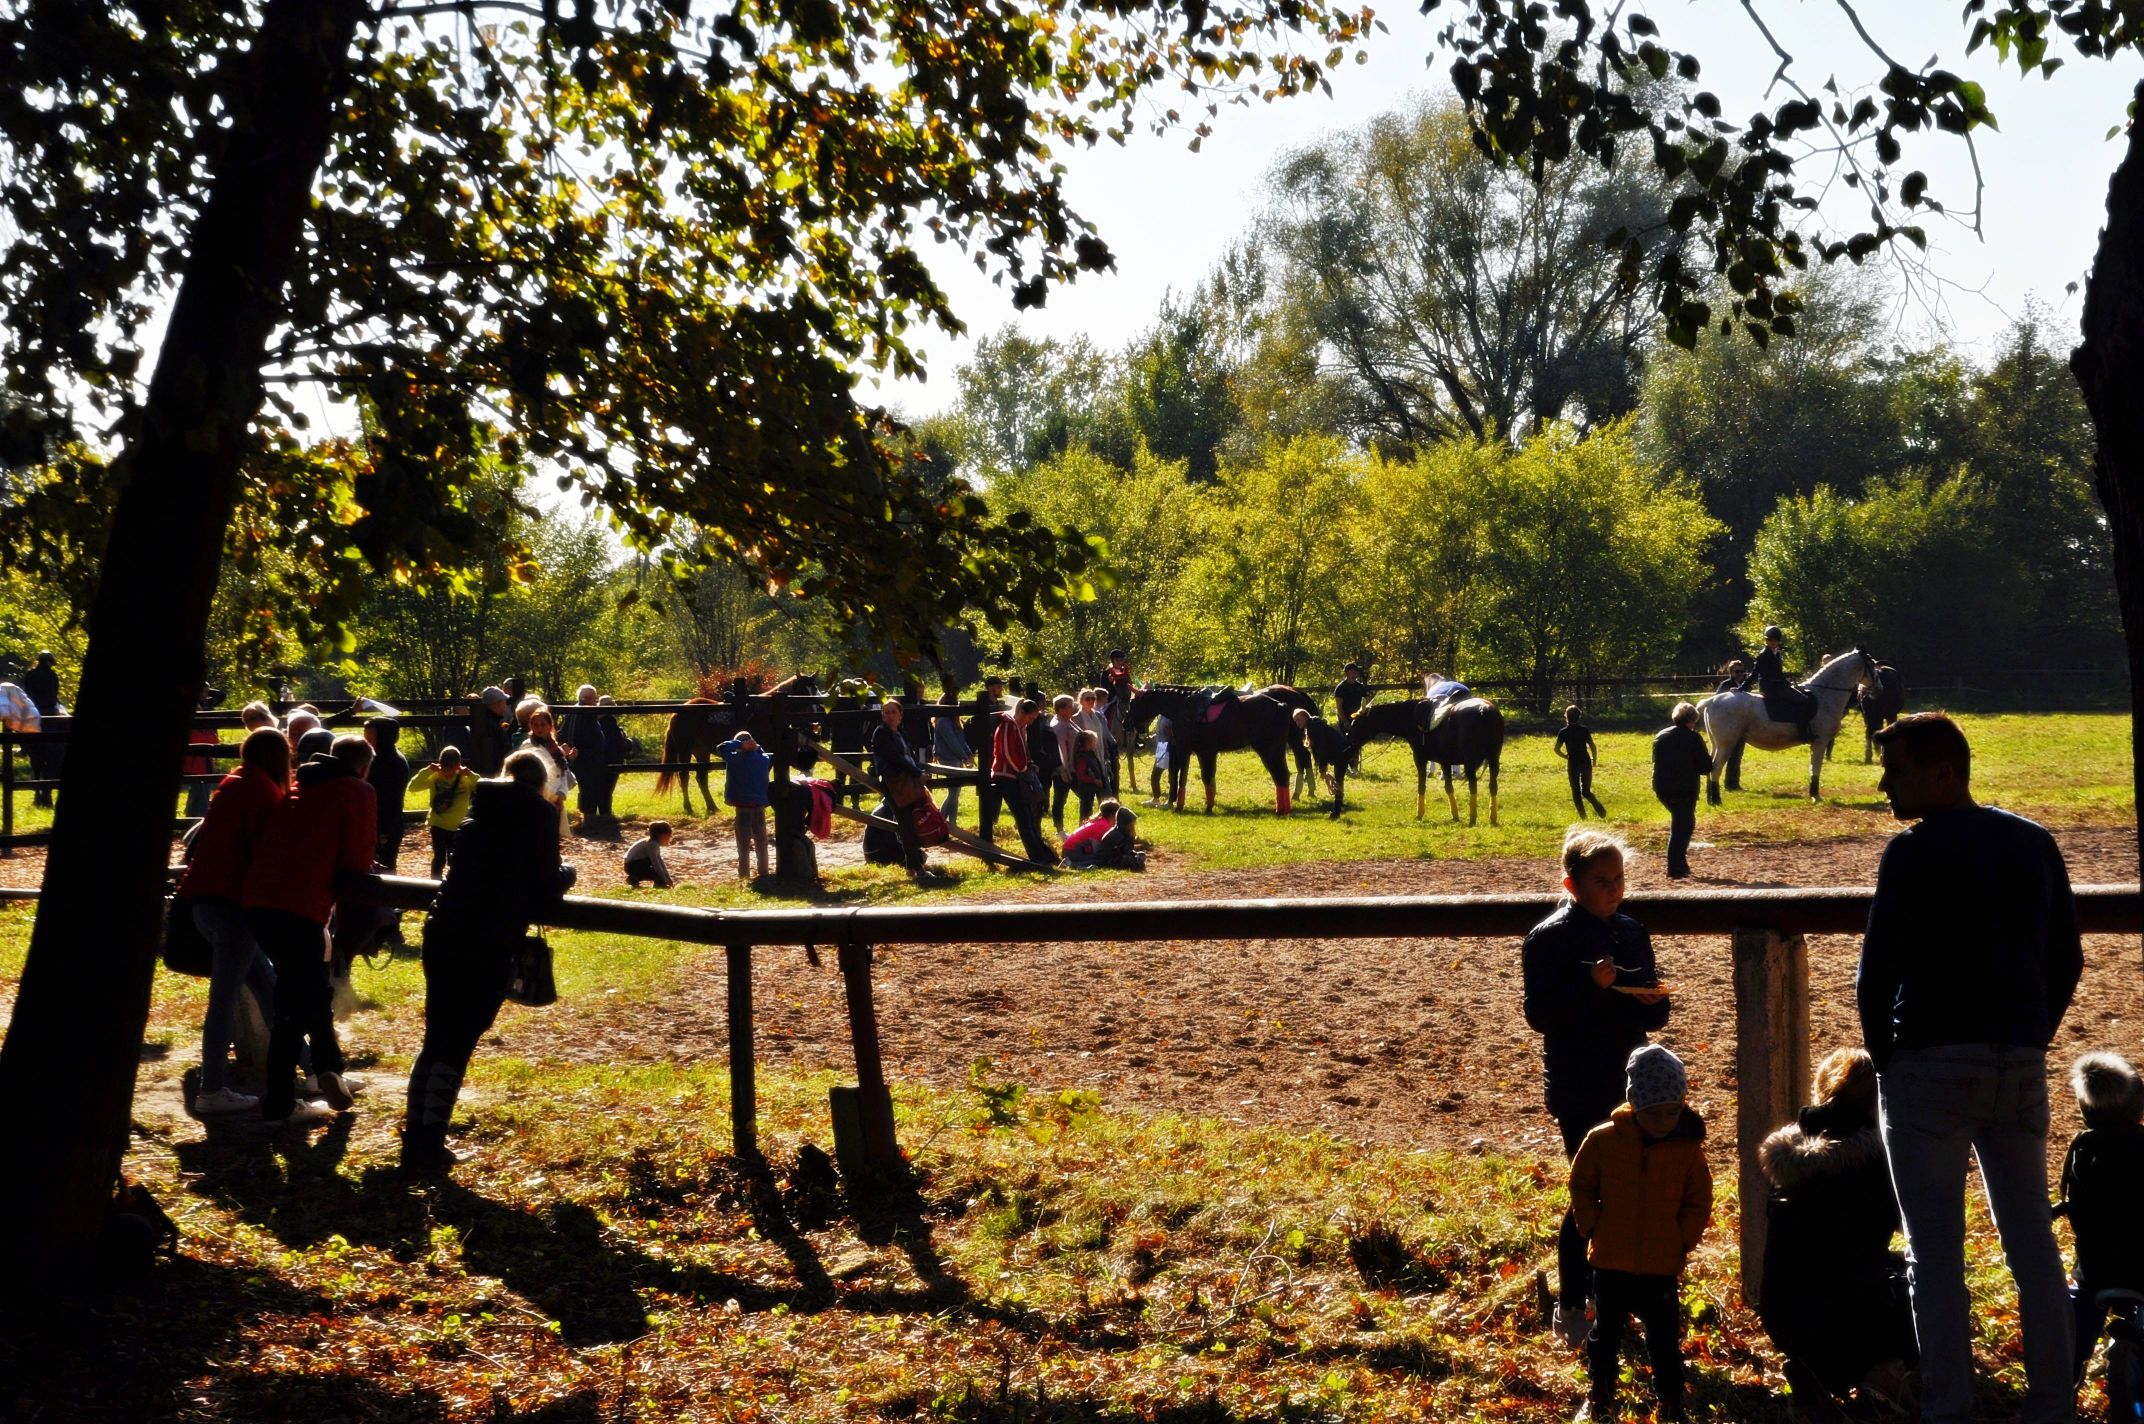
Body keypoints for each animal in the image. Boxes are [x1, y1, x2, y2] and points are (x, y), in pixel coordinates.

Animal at [1320, 690, 1509, 823]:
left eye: (1358, 723)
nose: (1347, 741)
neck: (1411, 716)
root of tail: (1485, 710)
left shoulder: (1420, 758)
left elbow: (1421, 786)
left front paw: (1420, 814)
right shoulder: (1445, 762)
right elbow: (1448, 787)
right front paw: (1454, 815)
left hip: (1471, 762)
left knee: (1473, 785)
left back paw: (1473, 816)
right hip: (1493, 760)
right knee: (1493, 786)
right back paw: (1492, 817)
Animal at [1706, 651, 1878, 806]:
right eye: (1872, 665)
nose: (1879, 688)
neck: (1824, 695)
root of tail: (1711, 701)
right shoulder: (1820, 742)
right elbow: (1815, 769)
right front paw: (1815, 795)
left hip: (1718, 744)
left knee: (1710, 767)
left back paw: (1710, 799)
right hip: (1726, 745)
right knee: (1716, 768)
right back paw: (1716, 800)